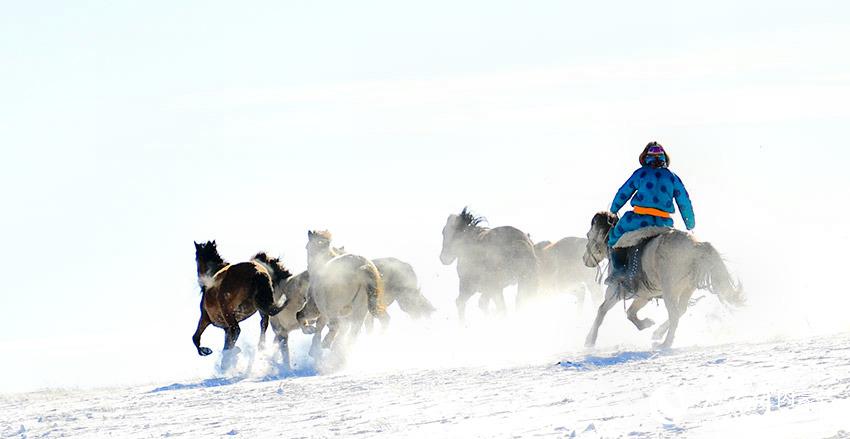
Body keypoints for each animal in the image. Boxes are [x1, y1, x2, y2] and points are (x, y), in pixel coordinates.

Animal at [191, 242, 290, 370]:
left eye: (196, 257)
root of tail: (257, 271)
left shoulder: (205, 318)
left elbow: (195, 338)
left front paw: (207, 351)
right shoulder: (225, 328)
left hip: (227, 310)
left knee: (237, 329)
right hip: (259, 306)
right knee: (264, 322)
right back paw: (260, 347)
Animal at [576, 213, 744, 350]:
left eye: (588, 235)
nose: (584, 260)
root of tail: (696, 246)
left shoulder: (614, 291)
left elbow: (602, 310)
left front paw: (590, 340)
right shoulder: (644, 295)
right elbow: (630, 313)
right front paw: (647, 323)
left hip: (670, 290)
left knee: (675, 314)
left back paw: (665, 343)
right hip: (686, 288)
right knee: (680, 310)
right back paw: (658, 334)